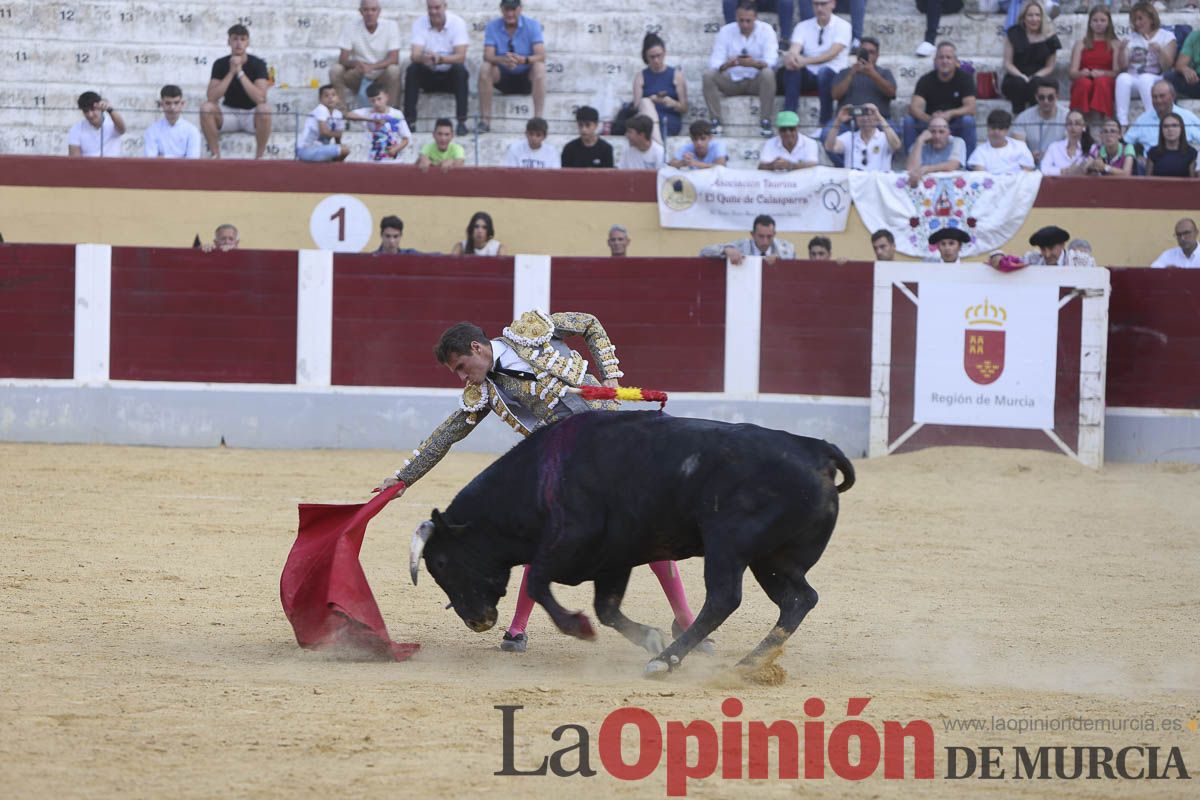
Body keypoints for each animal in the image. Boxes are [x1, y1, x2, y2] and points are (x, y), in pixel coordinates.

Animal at [410, 412, 854, 676]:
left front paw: (579, 628)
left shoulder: (571, 541)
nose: (476, 620)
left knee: (725, 597)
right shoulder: (613, 559)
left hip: (728, 545)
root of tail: (817, 449)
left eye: (443, 563)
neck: (539, 480)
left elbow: (537, 582)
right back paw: (749, 662)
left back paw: (666, 661)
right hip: (773, 559)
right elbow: (607, 609)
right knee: (799, 599)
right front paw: (648, 637)